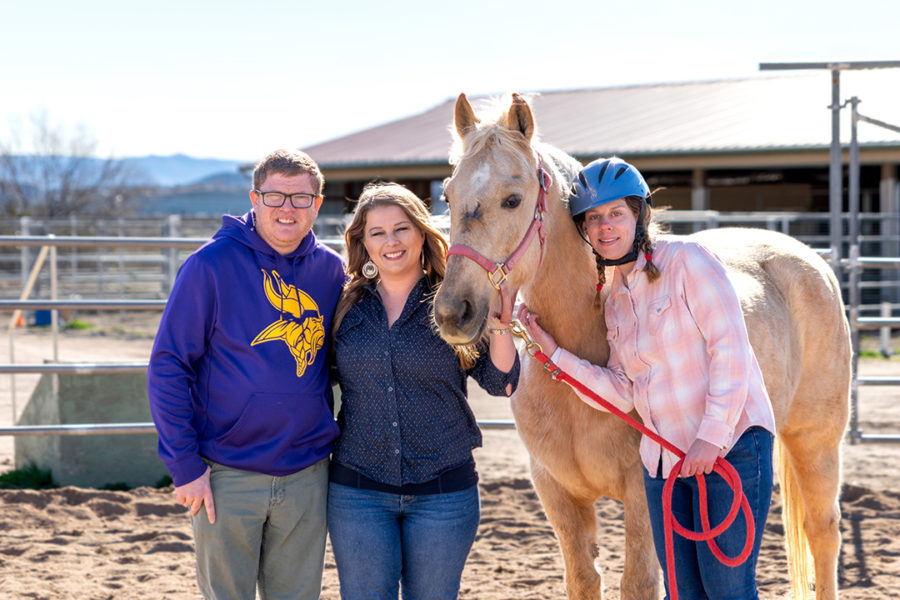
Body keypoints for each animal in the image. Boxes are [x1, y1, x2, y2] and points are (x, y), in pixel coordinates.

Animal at [434, 94, 852, 600]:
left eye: (512, 199)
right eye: (448, 196)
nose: (453, 313)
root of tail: (811, 259)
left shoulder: (644, 492)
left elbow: (637, 583)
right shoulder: (556, 493)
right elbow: (583, 580)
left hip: (816, 440)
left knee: (822, 532)